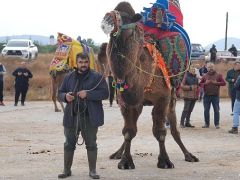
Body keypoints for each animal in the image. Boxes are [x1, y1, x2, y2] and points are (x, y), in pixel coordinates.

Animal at [101, 1, 199, 169]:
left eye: (125, 17)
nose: (105, 20)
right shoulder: (126, 100)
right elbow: (128, 131)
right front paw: (125, 161)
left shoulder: (163, 98)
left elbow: (160, 131)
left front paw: (165, 161)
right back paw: (117, 153)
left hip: (172, 98)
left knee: (174, 129)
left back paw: (189, 155)